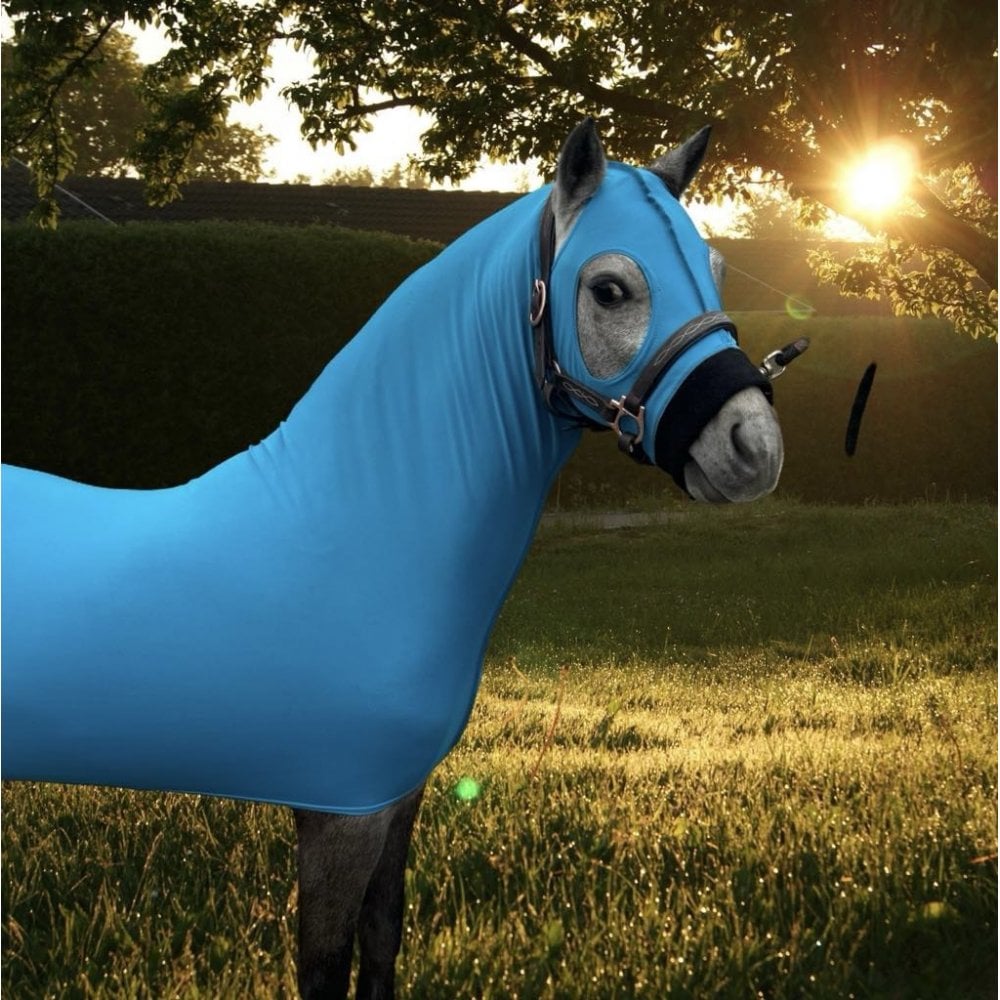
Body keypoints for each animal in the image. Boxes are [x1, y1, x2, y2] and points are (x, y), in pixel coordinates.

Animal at [2, 119, 797, 998]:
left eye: (713, 269)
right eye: (611, 289)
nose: (753, 450)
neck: (358, 527)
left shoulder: (396, 799)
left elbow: (382, 940)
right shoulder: (339, 811)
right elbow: (325, 964)